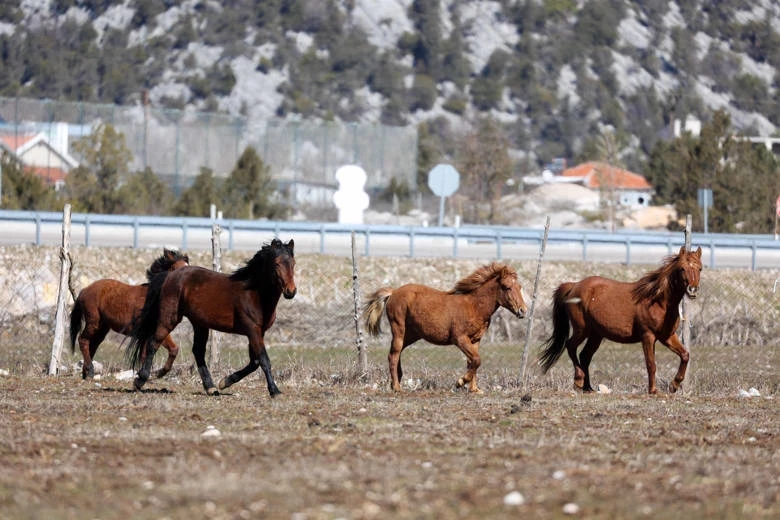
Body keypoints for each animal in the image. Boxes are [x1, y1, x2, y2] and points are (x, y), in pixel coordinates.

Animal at [71, 248, 190, 378]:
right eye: (175, 268)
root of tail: (84, 290)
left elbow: (170, 350)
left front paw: (153, 373)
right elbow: (150, 354)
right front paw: (151, 373)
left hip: (102, 328)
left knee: (92, 345)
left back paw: (87, 373)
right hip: (93, 322)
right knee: (83, 341)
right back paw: (90, 370)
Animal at [126, 238, 298, 396]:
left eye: (293, 263)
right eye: (277, 264)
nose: (291, 291)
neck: (254, 293)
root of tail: (170, 274)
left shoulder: (258, 332)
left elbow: (255, 362)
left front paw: (225, 382)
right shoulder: (252, 330)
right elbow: (263, 359)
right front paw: (274, 390)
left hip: (200, 323)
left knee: (198, 351)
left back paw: (211, 387)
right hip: (170, 318)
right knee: (153, 343)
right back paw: (141, 380)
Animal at [362, 262, 528, 392]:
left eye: (520, 286)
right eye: (507, 287)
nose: (523, 310)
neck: (474, 306)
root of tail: (393, 292)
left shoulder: (475, 340)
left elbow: (473, 362)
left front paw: (474, 389)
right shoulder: (460, 338)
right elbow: (476, 360)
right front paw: (460, 382)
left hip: (411, 335)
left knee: (396, 353)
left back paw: (395, 382)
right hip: (399, 330)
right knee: (394, 355)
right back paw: (397, 387)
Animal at [540, 245, 704, 394]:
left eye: (700, 268)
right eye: (682, 268)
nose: (692, 290)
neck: (657, 301)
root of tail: (574, 286)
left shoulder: (667, 336)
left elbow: (685, 355)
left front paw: (674, 385)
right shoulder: (647, 336)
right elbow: (651, 364)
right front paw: (653, 391)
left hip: (596, 335)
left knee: (585, 355)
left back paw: (588, 388)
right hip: (582, 330)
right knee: (571, 346)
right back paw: (579, 381)